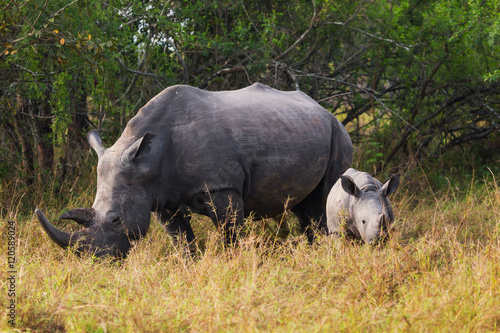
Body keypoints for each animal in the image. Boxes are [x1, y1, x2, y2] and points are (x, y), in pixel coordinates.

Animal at [35, 82, 352, 256]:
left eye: (115, 220)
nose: (97, 260)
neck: (147, 160)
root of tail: (323, 108)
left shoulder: (222, 187)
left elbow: (230, 234)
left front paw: (231, 264)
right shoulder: (156, 194)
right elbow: (181, 240)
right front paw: (189, 265)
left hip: (338, 132)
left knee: (325, 197)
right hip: (299, 127)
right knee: (304, 207)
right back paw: (315, 252)